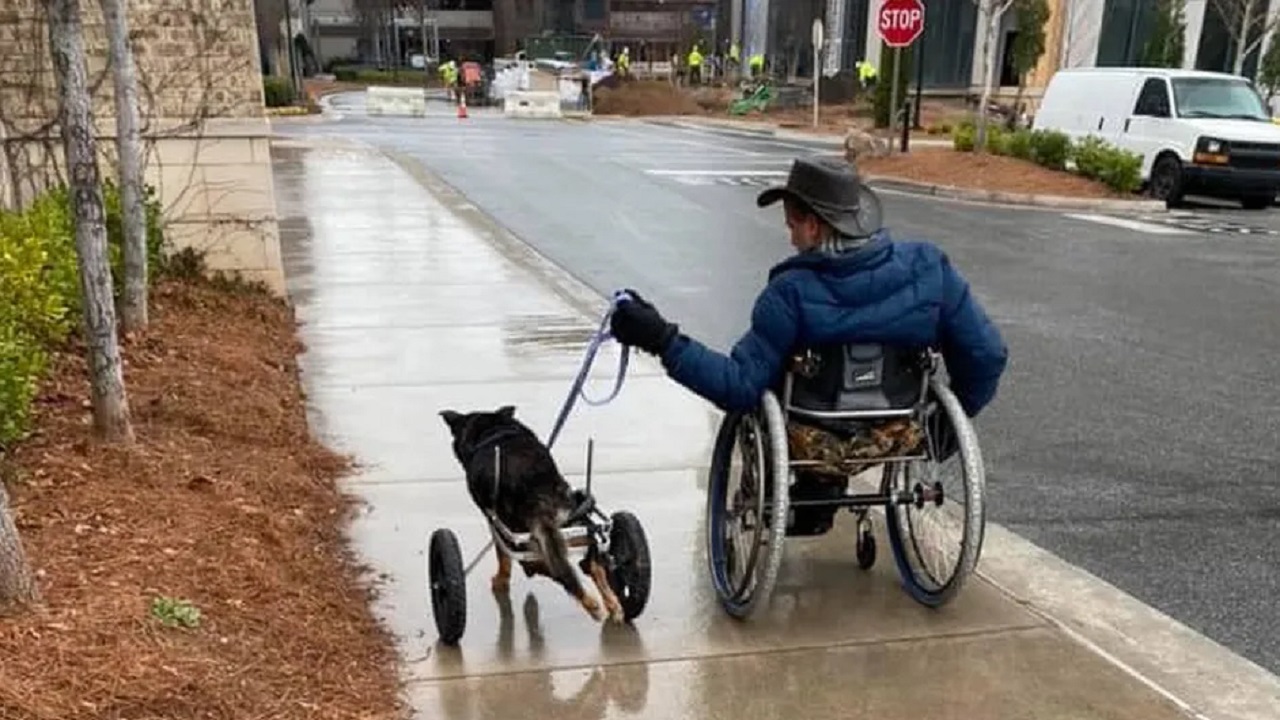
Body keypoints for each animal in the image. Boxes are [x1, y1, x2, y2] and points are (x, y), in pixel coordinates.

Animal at [440, 407, 624, 620]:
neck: (493, 430)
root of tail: (537, 492)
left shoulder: (493, 521)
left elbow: (503, 558)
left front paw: (501, 580)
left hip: (516, 528)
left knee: (540, 567)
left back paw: (589, 602)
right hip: (574, 517)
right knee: (593, 562)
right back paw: (611, 601)